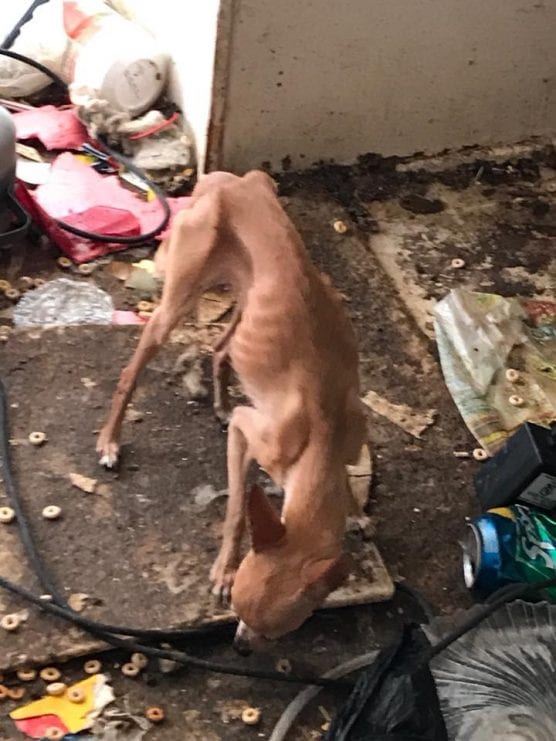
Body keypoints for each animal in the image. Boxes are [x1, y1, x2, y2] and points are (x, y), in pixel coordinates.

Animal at [97, 171, 368, 652]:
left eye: (275, 632)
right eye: (238, 613)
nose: (240, 646)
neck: (323, 437)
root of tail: (227, 181)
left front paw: (354, 508)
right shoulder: (249, 435)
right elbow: (238, 509)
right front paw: (224, 570)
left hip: (246, 303)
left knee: (221, 348)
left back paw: (221, 402)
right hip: (174, 305)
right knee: (131, 373)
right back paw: (110, 441)